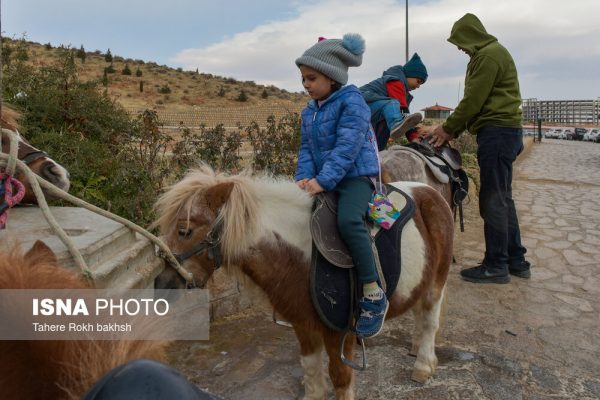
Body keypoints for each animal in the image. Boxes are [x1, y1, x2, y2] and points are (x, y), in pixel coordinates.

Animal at [152, 165, 452, 396]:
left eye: (184, 230)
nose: (162, 285)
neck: (301, 253)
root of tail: (430, 192)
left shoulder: (338, 333)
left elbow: (341, 379)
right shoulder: (303, 325)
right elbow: (311, 372)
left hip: (437, 282)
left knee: (430, 319)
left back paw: (423, 365)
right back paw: (415, 347)